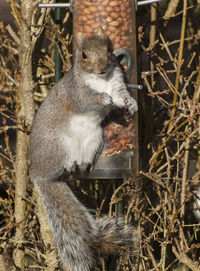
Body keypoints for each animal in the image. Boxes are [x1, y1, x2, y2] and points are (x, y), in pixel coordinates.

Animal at [29, 30, 138, 270]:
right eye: (85, 55)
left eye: (109, 50)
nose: (103, 67)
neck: (101, 79)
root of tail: (39, 175)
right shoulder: (76, 91)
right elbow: (86, 99)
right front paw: (102, 98)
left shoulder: (116, 84)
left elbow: (121, 96)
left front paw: (132, 103)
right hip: (59, 145)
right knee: (60, 165)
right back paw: (69, 165)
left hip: (94, 139)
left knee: (80, 163)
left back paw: (82, 164)